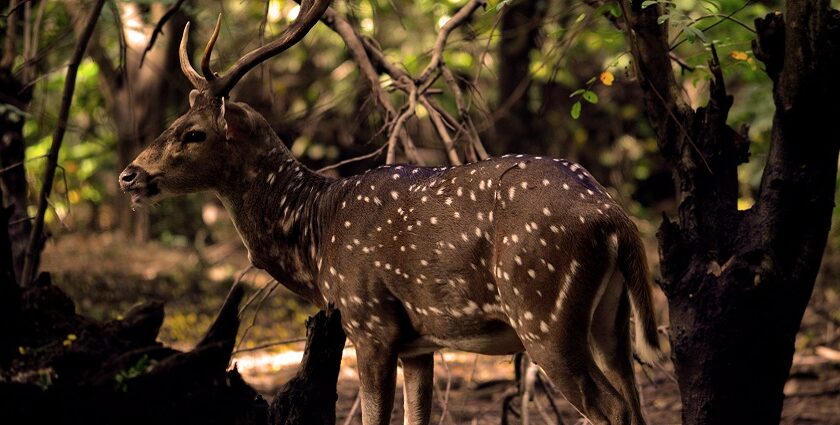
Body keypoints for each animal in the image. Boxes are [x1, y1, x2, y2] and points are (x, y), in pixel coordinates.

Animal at [116, 1, 664, 422]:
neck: (315, 238)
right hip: (610, 320)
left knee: (612, 407)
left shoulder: (369, 321)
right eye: (174, 120)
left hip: (542, 309)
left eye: (194, 133)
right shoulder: (419, 343)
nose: (129, 176)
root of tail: (613, 217)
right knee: (633, 398)